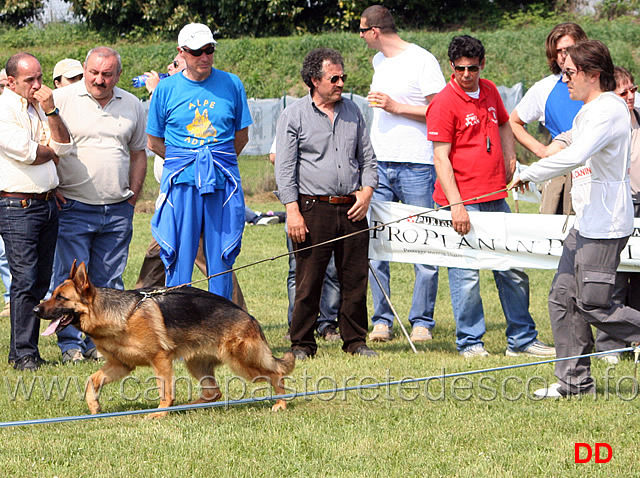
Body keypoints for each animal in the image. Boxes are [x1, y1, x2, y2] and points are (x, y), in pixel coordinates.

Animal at [34, 262, 296, 418]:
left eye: (60, 297)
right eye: (52, 294)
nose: (35, 310)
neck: (121, 315)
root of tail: (249, 317)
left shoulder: (160, 359)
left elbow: (164, 390)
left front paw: (160, 413)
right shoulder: (121, 365)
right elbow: (92, 380)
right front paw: (94, 406)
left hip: (242, 362)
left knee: (275, 374)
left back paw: (281, 403)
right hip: (197, 363)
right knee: (213, 393)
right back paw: (189, 407)